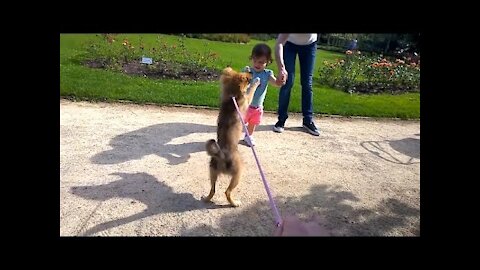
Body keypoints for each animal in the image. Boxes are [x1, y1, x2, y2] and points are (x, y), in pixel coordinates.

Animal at [203, 67, 262, 207]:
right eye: (246, 78)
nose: (251, 71)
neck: (232, 97)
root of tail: (221, 155)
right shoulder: (247, 100)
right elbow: (251, 90)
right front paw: (256, 81)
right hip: (238, 173)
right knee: (227, 192)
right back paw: (235, 203)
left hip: (212, 171)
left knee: (212, 190)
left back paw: (206, 198)